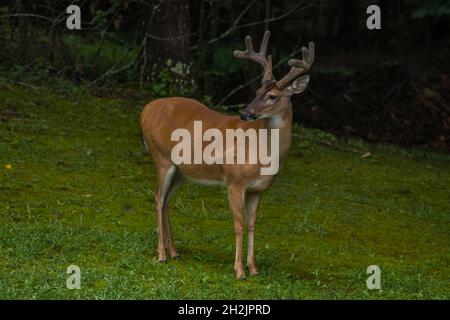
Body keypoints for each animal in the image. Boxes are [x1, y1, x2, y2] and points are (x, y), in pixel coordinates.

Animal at [140, 30, 312, 280]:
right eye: (256, 92)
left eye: (272, 96)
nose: (245, 113)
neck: (264, 154)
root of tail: (145, 110)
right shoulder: (234, 181)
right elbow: (238, 224)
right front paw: (239, 270)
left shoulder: (258, 189)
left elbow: (252, 224)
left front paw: (254, 268)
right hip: (161, 157)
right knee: (158, 196)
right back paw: (161, 255)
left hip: (182, 170)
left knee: (166, 200)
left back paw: (174, 252)